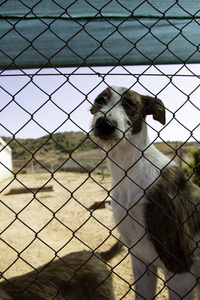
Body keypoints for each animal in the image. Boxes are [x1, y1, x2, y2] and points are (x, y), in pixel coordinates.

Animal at [90, 85, 200, 298]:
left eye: (130, 104)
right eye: (100, 100)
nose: (104, 124)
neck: (128, 170)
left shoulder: (179, 261)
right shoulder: (141, 259)